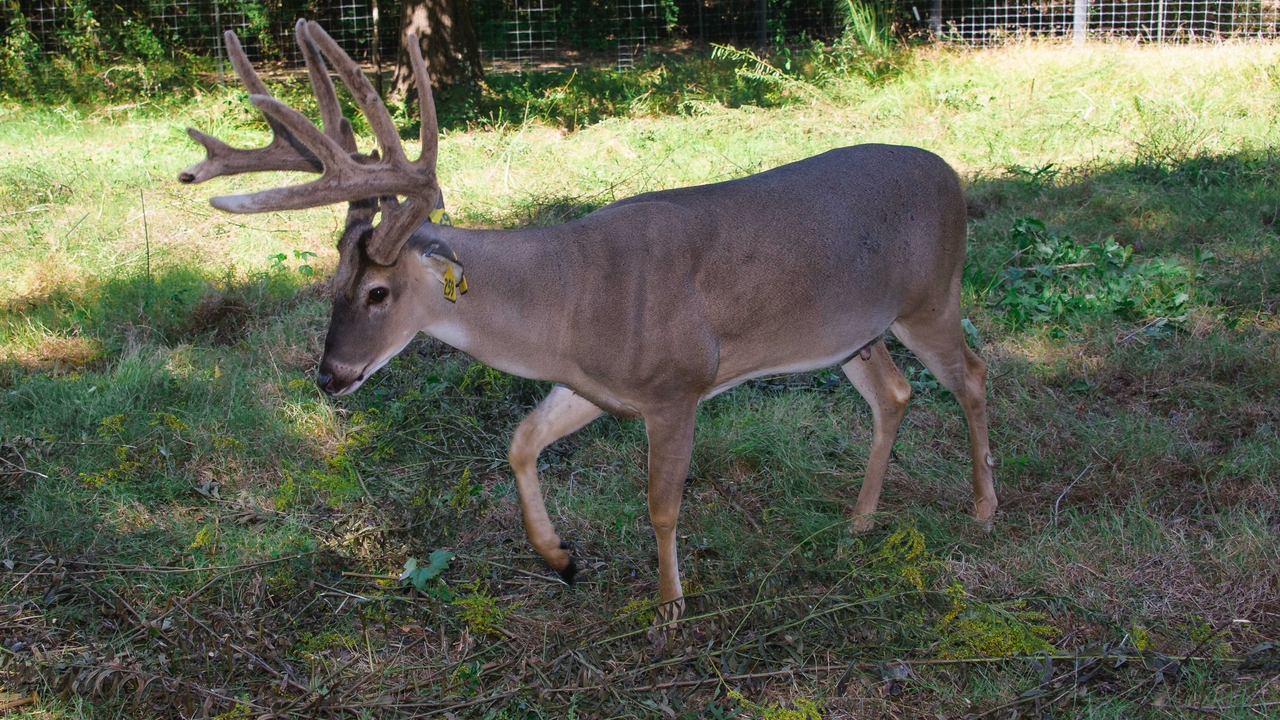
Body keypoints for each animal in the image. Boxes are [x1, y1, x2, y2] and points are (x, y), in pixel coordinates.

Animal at [179, 20, 998, 630]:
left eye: (379, 292)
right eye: (333, 284)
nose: (330, 376)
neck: (568, 305)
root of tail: (951, 174)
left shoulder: (677, 384)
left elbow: (661, 504)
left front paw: (668, 607)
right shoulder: (592, 386)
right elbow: (519, 442)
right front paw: (560, 557)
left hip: (932, 297)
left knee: (973, 374)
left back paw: (985, 505)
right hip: (854, 332)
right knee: (895, 393)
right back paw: (860, 519)